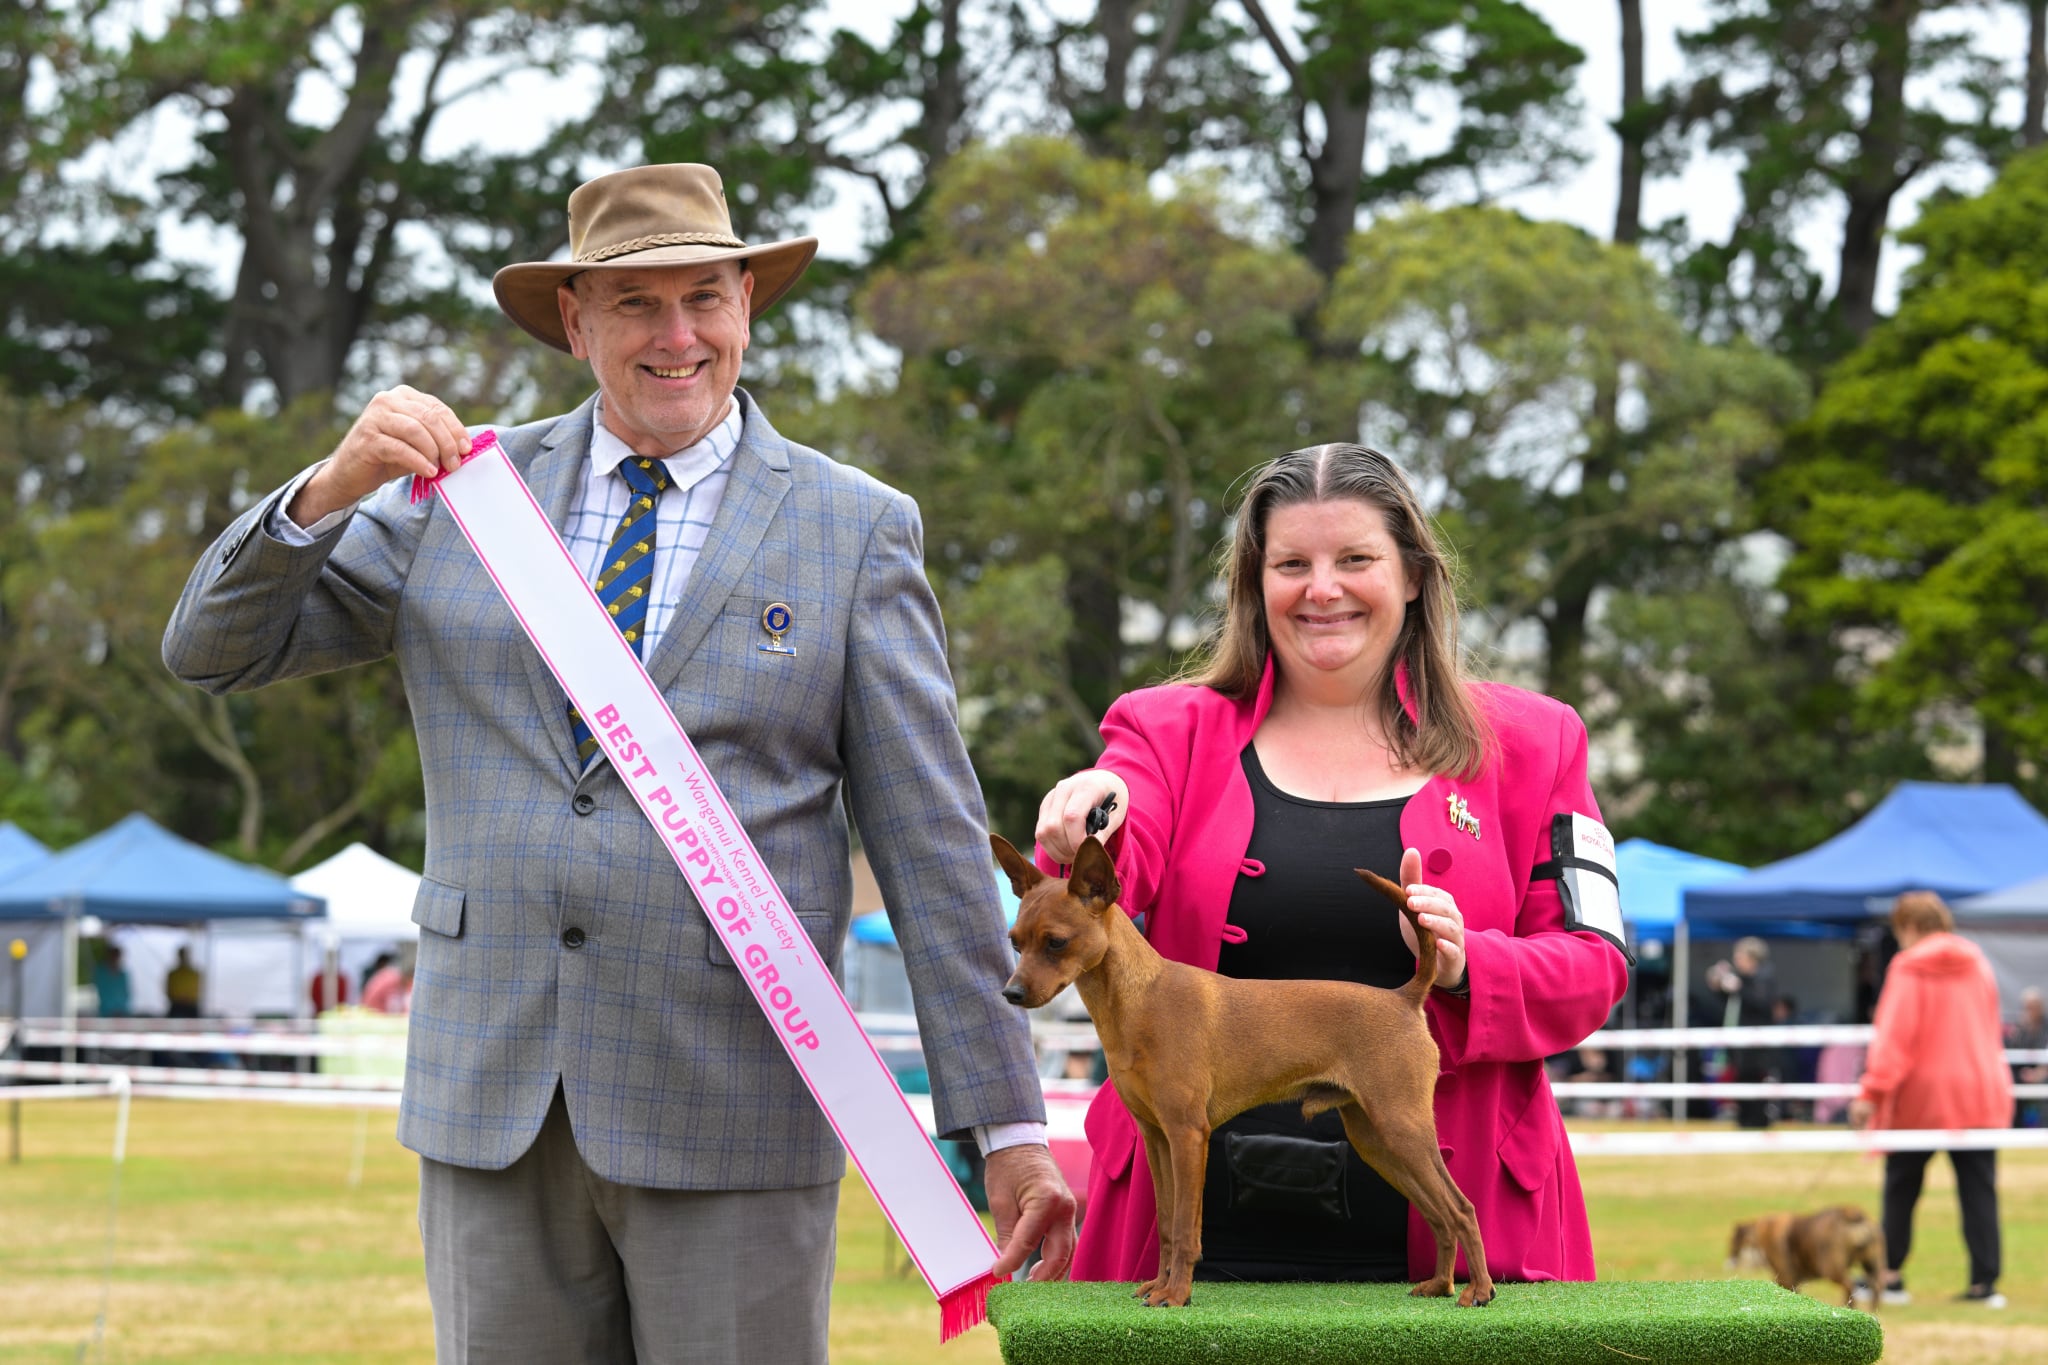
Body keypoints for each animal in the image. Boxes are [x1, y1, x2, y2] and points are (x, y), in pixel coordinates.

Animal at [992, 832, 1492, 1308]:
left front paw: (1176, 1295)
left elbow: (1185, 1228)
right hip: (1376, 1140)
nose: (1010, 994)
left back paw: (1479, 1291)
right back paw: (1440, 1285)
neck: (1139, 998)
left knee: (1462, 1208)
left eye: (1056, 942)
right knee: (1440, 1214)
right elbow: (1168, 1224)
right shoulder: (1157, 1137)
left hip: (1401, 1128)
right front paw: (1158, 1286)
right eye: (1015, 941)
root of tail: (1405, 997)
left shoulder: (1188, 1135)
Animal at [1727, 1206, 1886, 1310]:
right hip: (1872, 1265)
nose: (1729, 1261)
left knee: (1850, 1286)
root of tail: (1851, 1213)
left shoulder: (1786, 1279)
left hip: (1832, 1270)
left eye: (1733, 1241)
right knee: (1876, 1287)